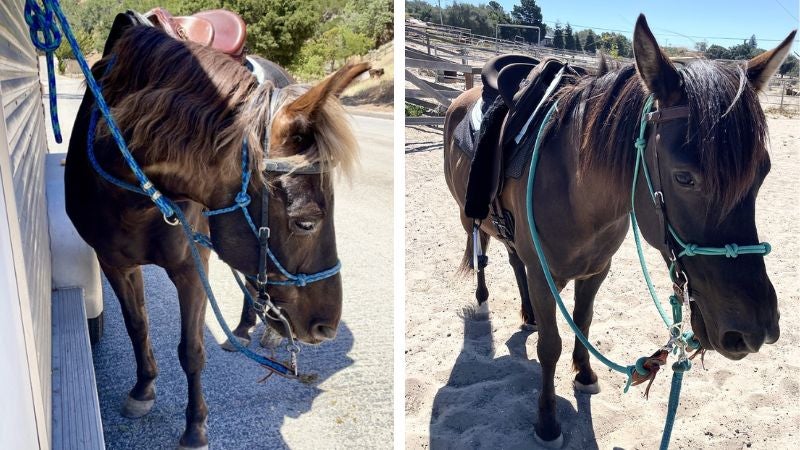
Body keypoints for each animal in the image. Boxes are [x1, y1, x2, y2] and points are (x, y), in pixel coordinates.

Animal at [67, 25, 368, 450]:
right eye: (307, 222)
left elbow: (192, 349)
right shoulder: (113, 263)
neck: (130, 191)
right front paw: (143, 389)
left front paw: (195, 427)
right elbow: (137, 327)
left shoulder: (191, 268)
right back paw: (242, 328)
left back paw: (266, 333)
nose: (327, 327)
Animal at [444, 14, 792, 446]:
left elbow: (584, 321)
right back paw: (482, 297)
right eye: (684, 177)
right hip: (468, 215)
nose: (755, 329)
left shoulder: (597, 270)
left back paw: (526, 313)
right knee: (482, 250)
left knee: (512, 260)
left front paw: (584, 373)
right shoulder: (545, 276)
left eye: (763, 173)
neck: (574, 188)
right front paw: (547, 421)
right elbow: (549, 345)